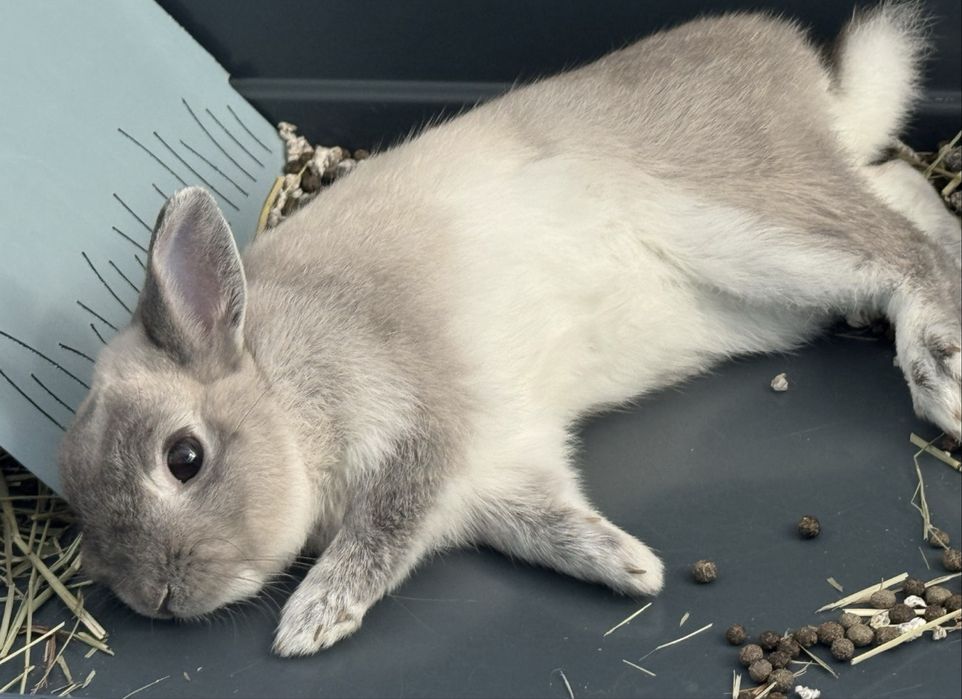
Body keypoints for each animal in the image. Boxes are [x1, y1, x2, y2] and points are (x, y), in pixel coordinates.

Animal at [59, 2, 960, 657]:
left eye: (184, 458)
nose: (157, 601)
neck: (285, 387)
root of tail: (816, 85)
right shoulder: (502, 480)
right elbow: (550, 525)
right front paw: (634, 569)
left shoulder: (428, 431)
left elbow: (381, 532)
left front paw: (312, 620)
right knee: (904, 190)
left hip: (753, 223)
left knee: (901, 253)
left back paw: (940, 377)